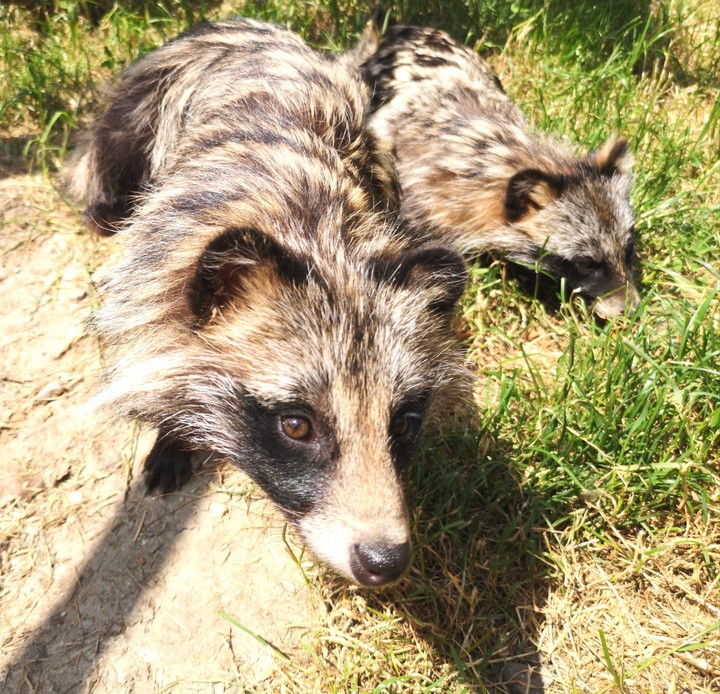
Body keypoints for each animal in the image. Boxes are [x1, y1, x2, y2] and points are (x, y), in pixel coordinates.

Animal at [70, 18, 469, 586]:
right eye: (297, 424)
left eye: (404, 424)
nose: (384, 562)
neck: (314, 235)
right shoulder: (155, 255)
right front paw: (172, 432)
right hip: (134, 111)